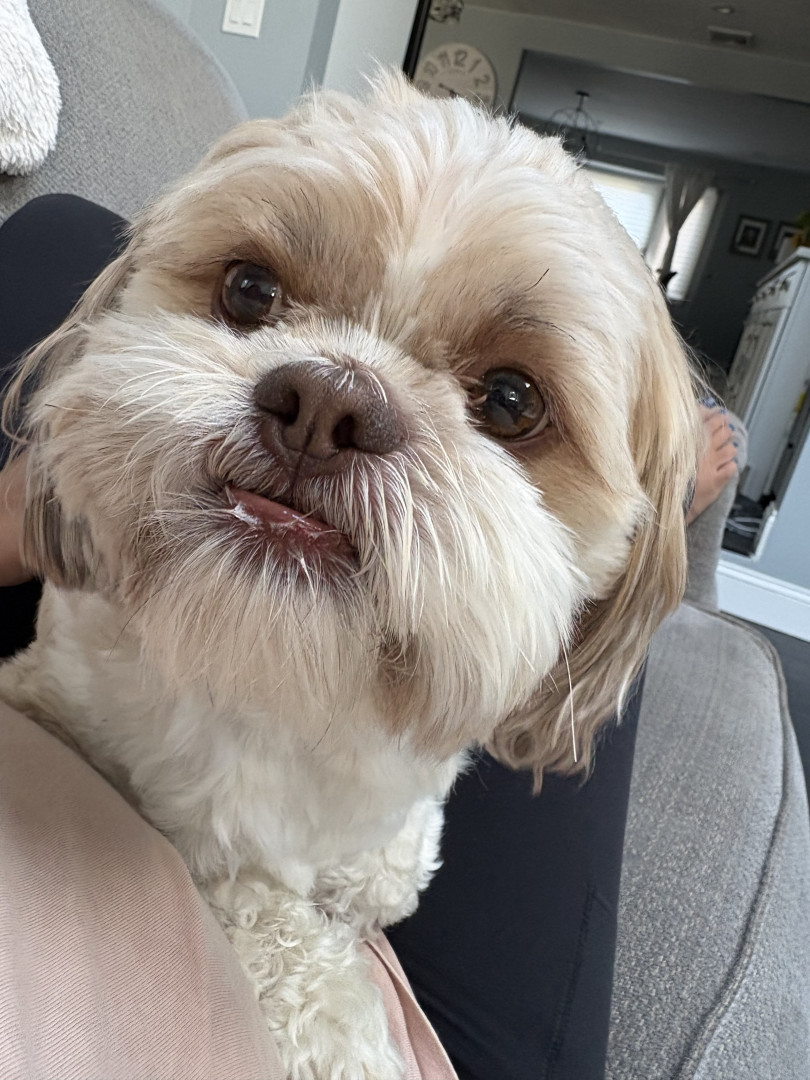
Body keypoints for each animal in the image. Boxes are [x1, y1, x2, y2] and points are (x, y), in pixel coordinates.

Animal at [0, 73, 700, 1078]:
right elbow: (267, 914)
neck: (285, 672)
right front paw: (345, 1018)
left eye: (512, 401)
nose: (327, 398)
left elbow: (391, 868)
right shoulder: (77, 718)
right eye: (249, 288)